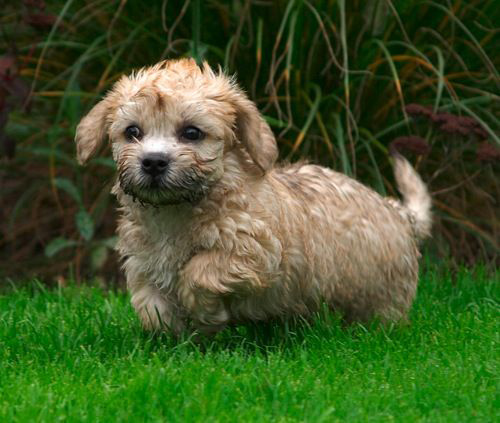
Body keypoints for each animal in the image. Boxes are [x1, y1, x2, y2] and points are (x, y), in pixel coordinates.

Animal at [74, 58, 430, 336]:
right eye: (132, 132)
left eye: (192, 133)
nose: (153, 162)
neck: (178, 209)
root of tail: (398, 212)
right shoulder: (144, 262)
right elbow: (151, 304)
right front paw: (175, 332)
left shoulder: (254, 252)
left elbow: (198, 271)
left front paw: (206, 314)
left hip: (385, 297)